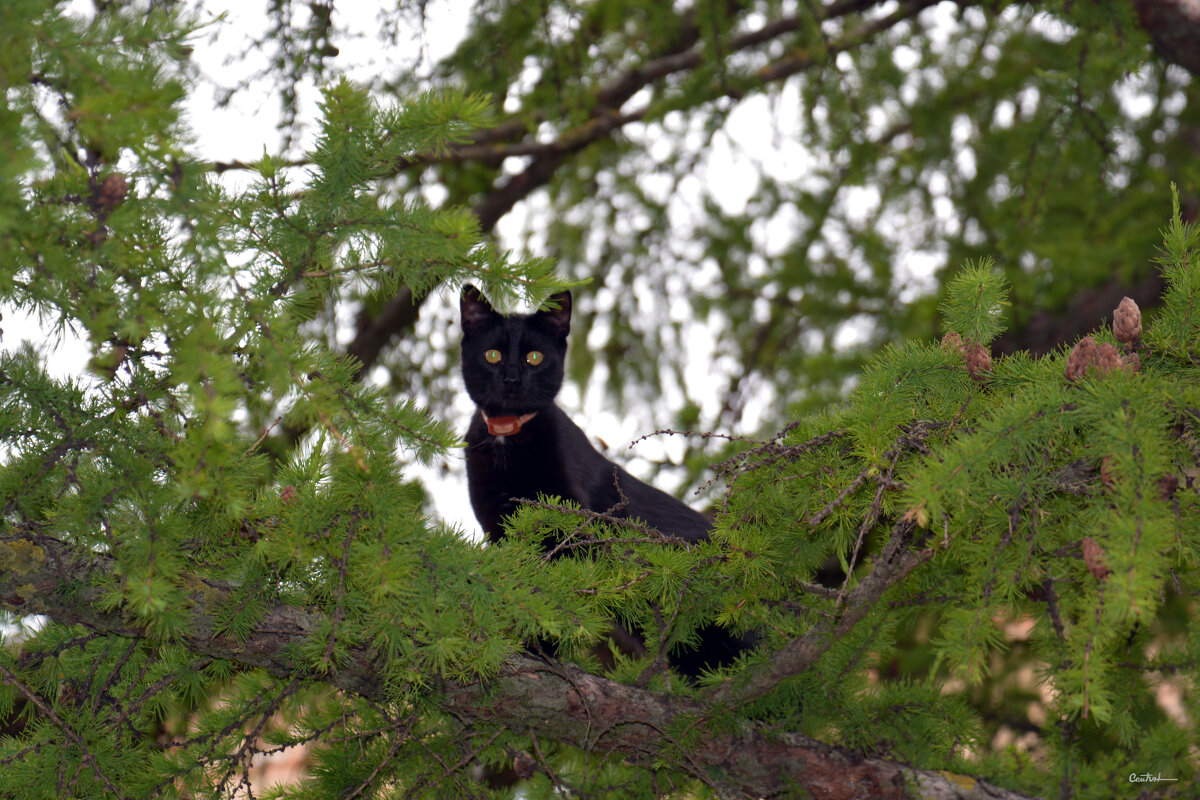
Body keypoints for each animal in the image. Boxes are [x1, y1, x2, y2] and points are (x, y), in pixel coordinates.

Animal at [460, 284, 748, 681]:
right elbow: (523, 586)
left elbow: (558, 588)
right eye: (492, 355)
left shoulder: (572, 523)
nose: (513, 380)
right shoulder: (499, 526)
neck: (508, 438)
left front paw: (543, 648)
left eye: (534, 356)